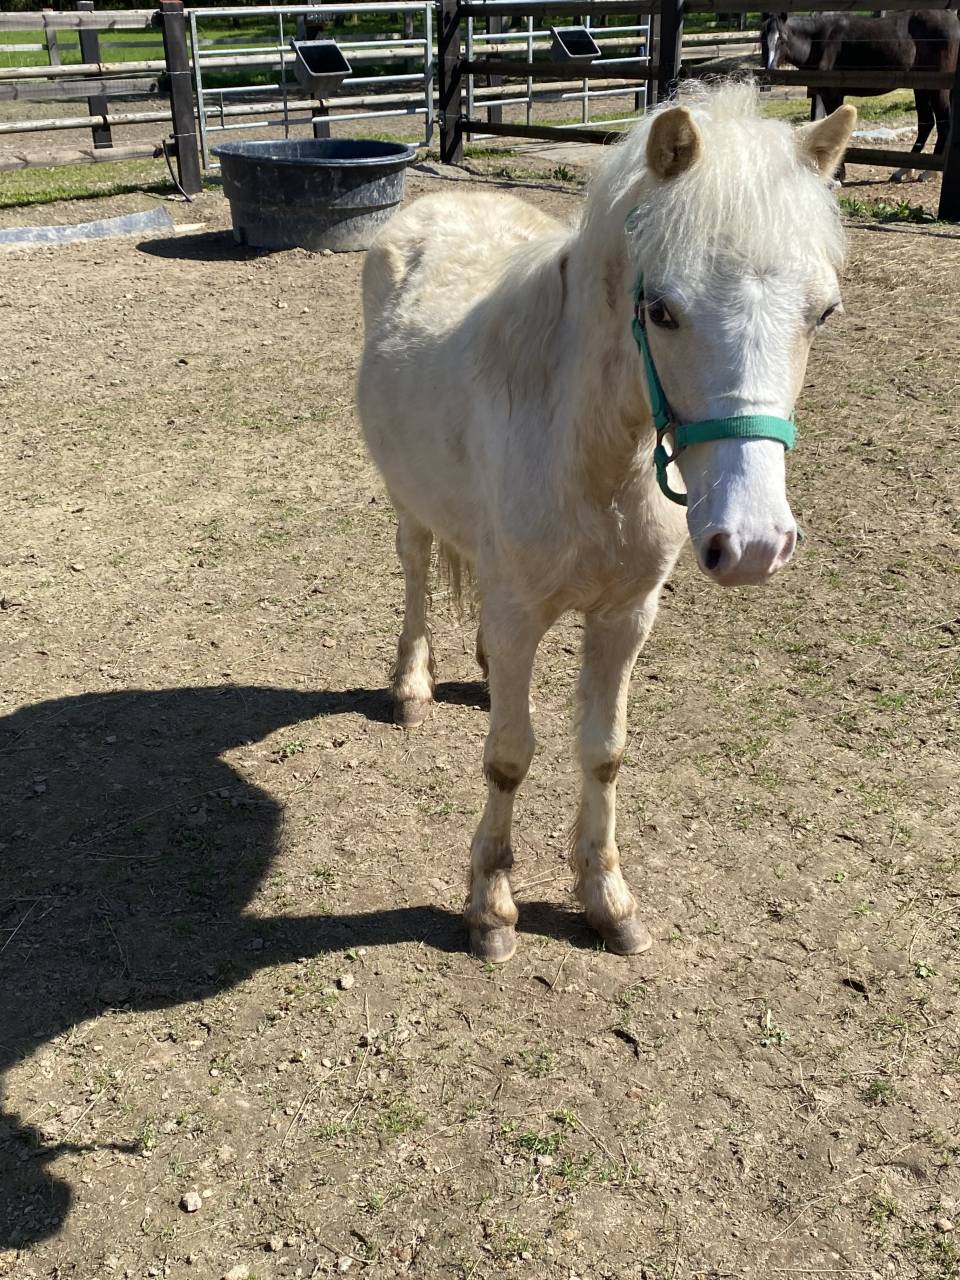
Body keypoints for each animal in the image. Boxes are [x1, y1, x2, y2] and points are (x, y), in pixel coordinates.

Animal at [356, 83, 855, 963]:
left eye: (822, 312)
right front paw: (492, 908)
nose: (754, 545)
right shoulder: (521, 612)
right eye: (661, 310)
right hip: (408, 502)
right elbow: (509, 758)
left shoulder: (624, 618)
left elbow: (604, 752)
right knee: (415, 572)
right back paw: (412, 685)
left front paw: (606, 899)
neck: (591, 455)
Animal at [760, 10, 959, 183]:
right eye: (763, 38)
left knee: (944, 124)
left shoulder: (833, 94)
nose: (770, 72)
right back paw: (903, 171)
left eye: (782, 38)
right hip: (921, 88)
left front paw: (838, 175)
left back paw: (928, 173)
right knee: (926, 124)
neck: (820, 40)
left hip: (938, 89)